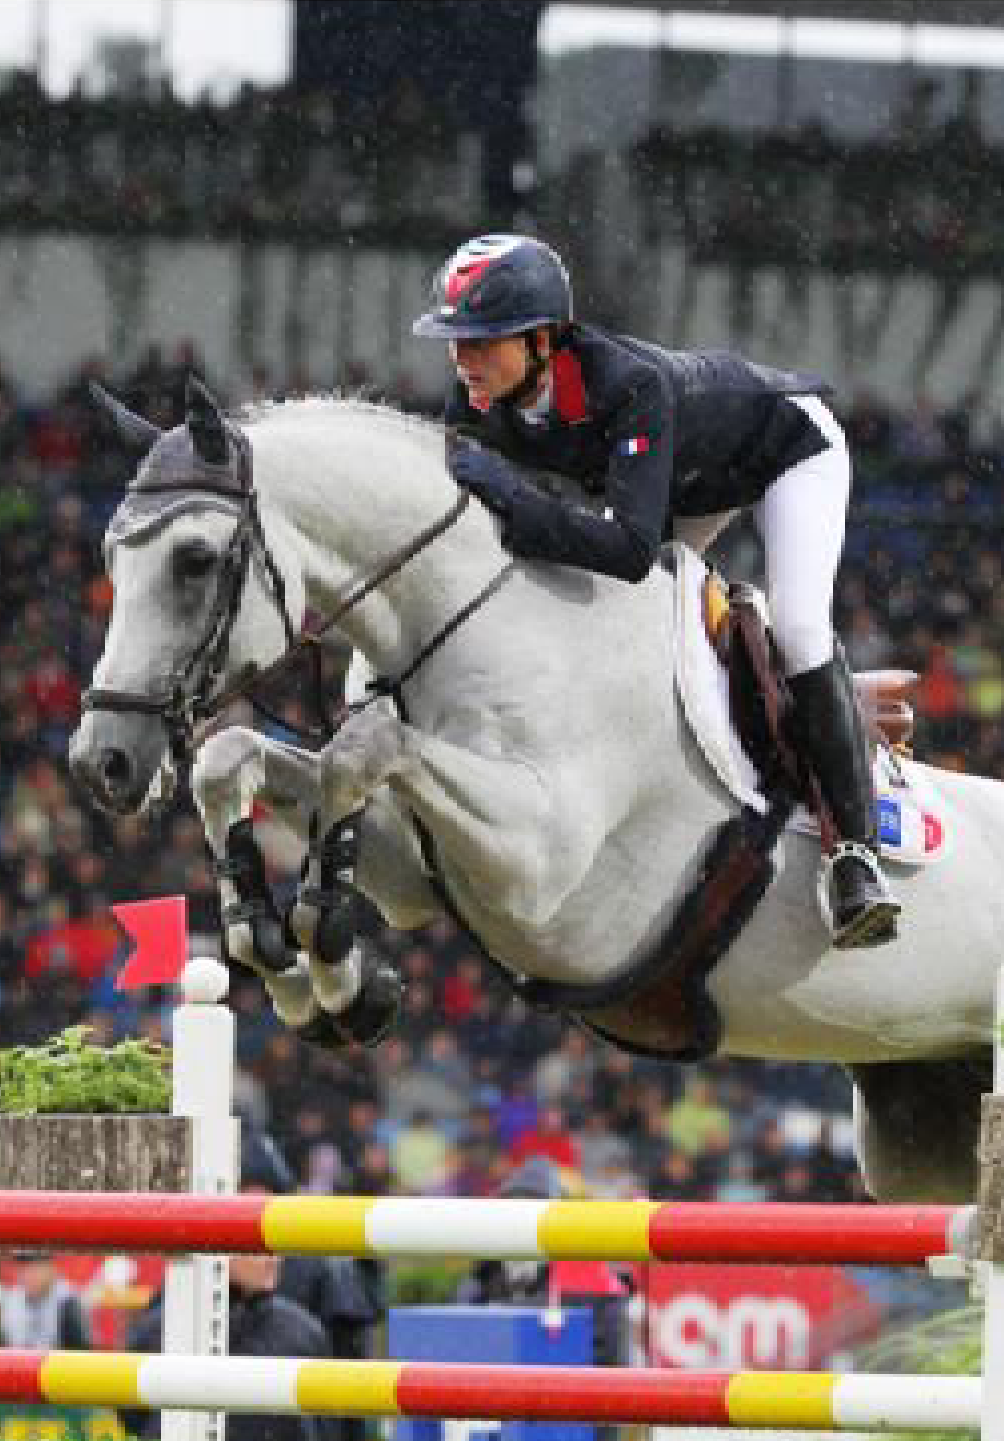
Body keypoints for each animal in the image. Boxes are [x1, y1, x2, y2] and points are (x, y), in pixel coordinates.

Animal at [69, 383, 1004, 1205]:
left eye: (194, 561)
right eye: (111, 558)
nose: (102, 762)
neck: (476, 619)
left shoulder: (542, 870)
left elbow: (362, 750)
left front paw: (332, 963)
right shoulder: (416, 872)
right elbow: (232, 757)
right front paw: (296, 965)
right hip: (919, 1116)